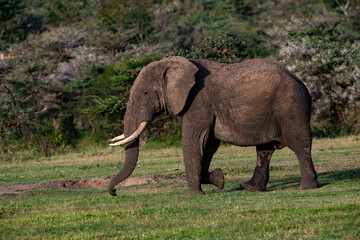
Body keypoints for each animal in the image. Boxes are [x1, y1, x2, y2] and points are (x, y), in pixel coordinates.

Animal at [106, 57, 318, 196]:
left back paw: (305, 187)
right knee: (264, 149)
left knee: (299, 144)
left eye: (146, 93)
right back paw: (250, 188)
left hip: (291, 108)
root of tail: (300, 81)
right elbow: (208, 145)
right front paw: (219, 179)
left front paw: (194, 195)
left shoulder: (198, 101)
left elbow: (194, 142)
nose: (115, 192)